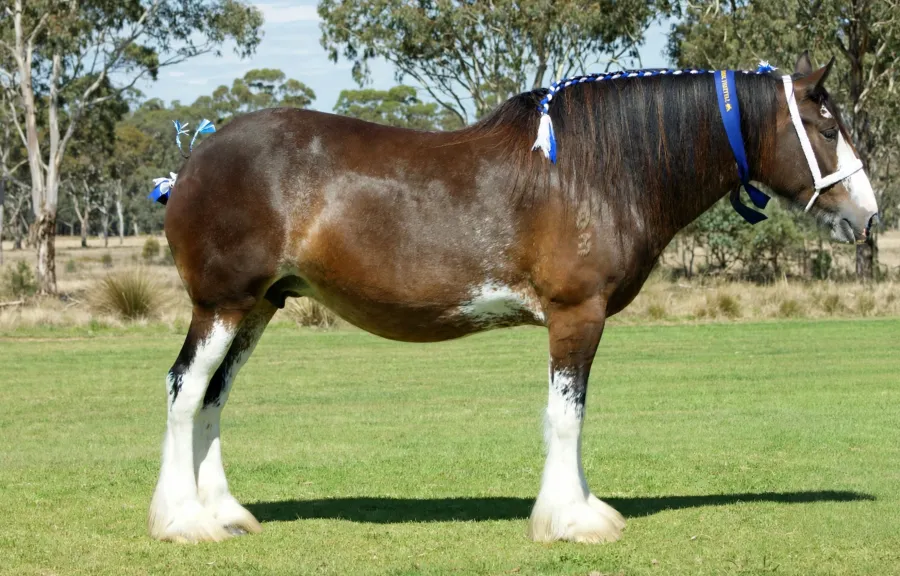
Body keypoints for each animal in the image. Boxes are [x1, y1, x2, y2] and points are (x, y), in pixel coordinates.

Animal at [149, 52, 878, 544]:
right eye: (825, 127)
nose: (868, 215)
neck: (594, 171)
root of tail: (194, 158)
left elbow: (570, 416)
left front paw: (581, 509)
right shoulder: (576, 314)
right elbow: (566, 416)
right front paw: (571, 521)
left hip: (257, 308)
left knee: (213, 398)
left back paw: (225, 513)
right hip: (221, 306)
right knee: (184, 391)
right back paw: (184, 521)